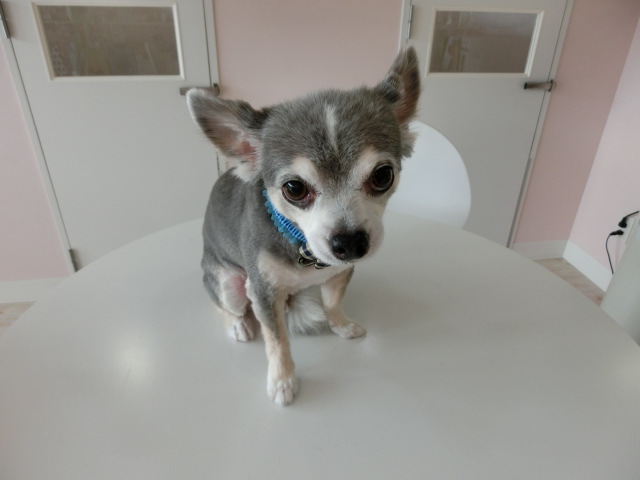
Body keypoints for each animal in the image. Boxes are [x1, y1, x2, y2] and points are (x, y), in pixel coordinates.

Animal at [187, 47, 420, 405]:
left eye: (383, 176)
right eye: (294, 189)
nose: (350, 243)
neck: (302, 247)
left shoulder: (339, 272)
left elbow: (333, 303)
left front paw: (341, 326)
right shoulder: (263, 292)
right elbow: (277, 341)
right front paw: (282, 381)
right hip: (230, 284)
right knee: (225, 304)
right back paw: (239, 324)